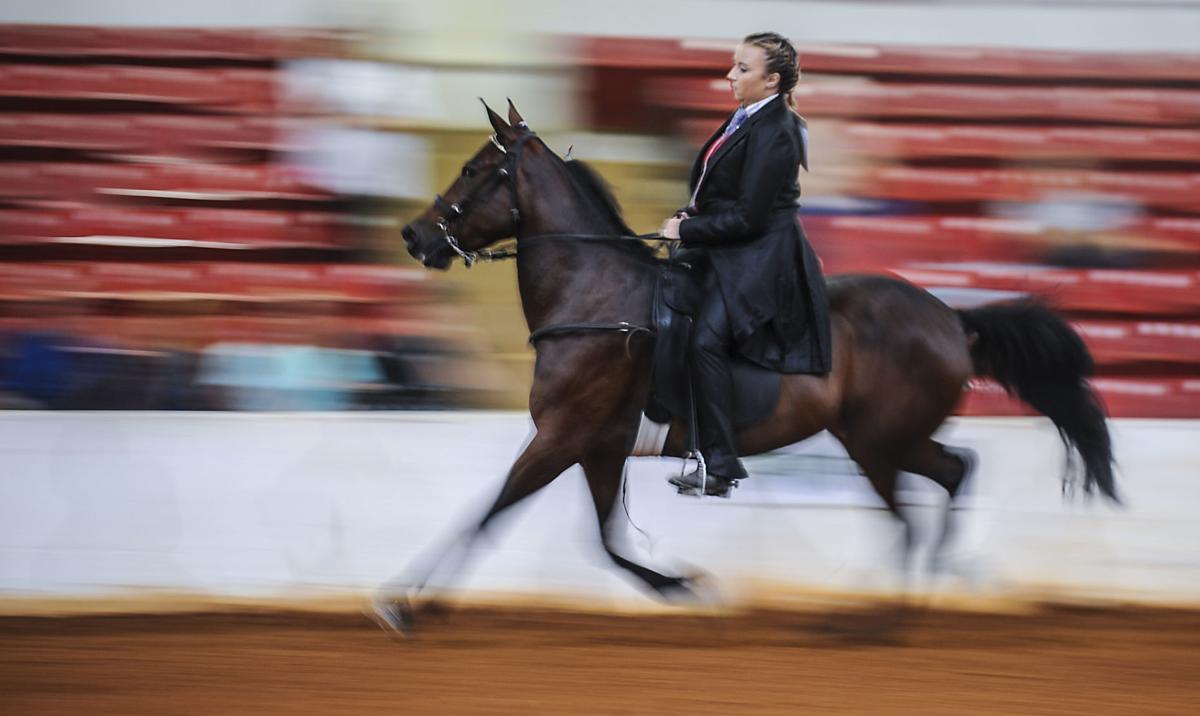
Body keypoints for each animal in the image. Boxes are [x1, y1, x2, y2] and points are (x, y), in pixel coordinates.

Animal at [374, 100, 1118, 634]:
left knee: (924, 502)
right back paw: (919, 594)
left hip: (879, 441)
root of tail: (950, 319)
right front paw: (682, 585)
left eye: (475, 171)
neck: (594, 295)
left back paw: (885, 619)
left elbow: (488, 514)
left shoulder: (561, 437)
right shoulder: (598, 446)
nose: (413, 236)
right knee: (951, 474)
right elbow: (606, 541)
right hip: (878, 438)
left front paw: (404, 604)